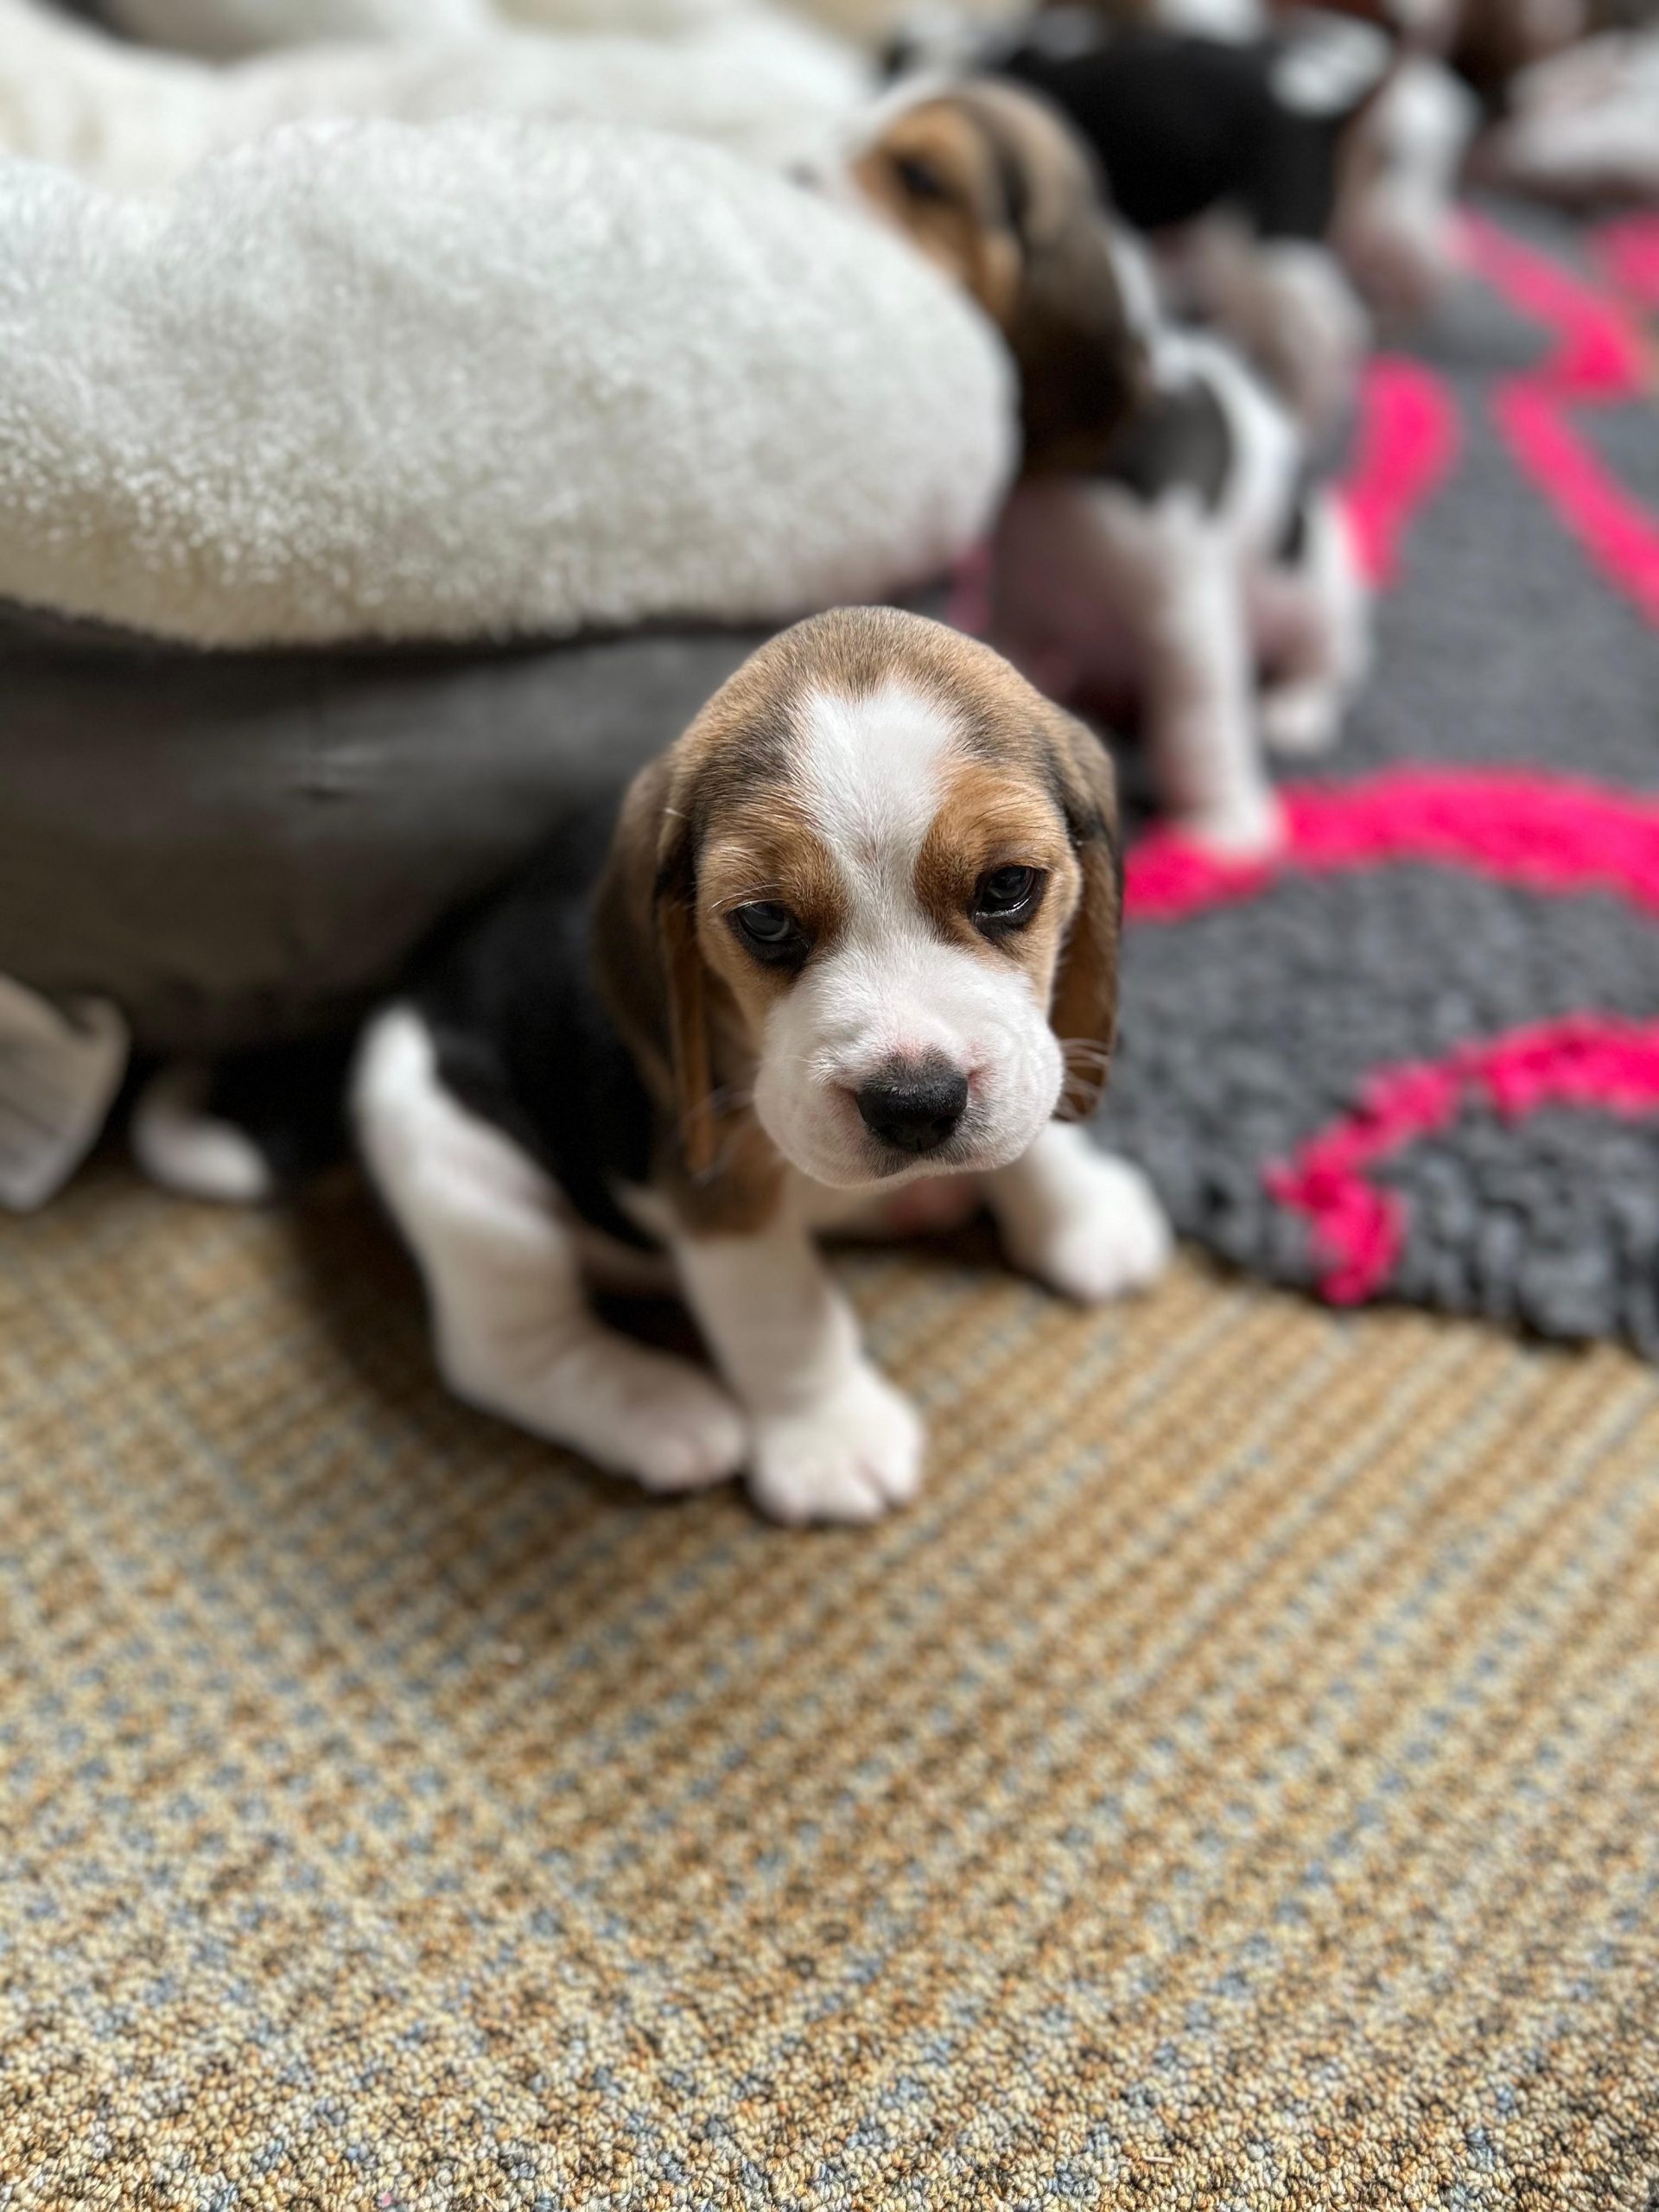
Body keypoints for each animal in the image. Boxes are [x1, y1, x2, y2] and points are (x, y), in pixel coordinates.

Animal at [358, 614, 1176, 1530]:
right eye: (765, 921)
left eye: (1007, 885)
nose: (915, 1105)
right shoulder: (717, 1183)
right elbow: (779, 1310)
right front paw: (832, 1441)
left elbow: (1036, 1096)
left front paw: (1081, 1214)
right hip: (451, 1164)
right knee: (508, 1353)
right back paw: (661, 1411)